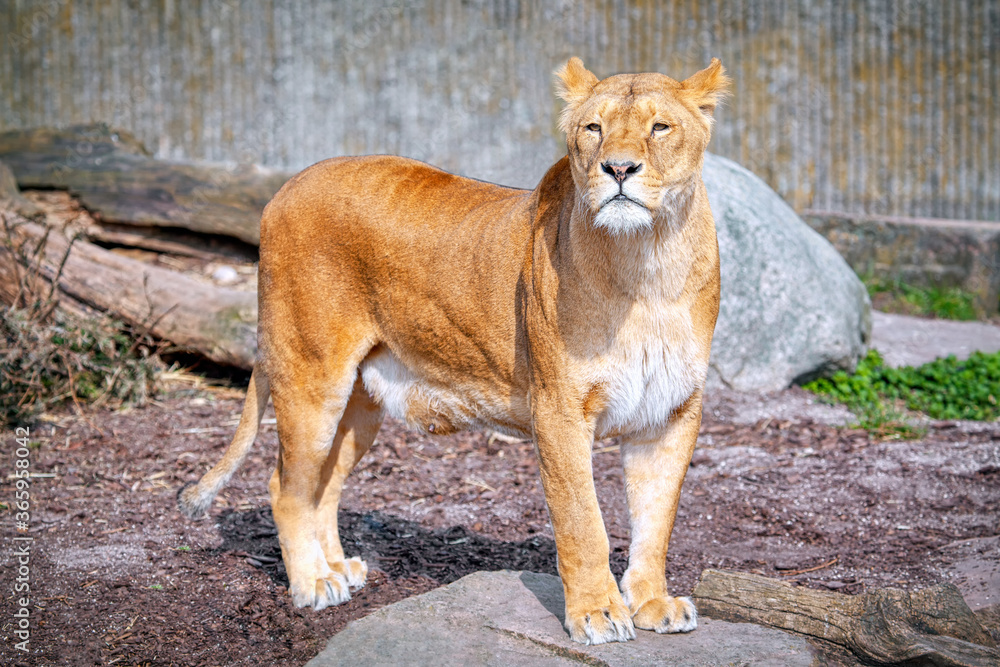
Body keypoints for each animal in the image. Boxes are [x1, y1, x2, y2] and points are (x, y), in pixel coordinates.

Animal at [179, 57, 729, 645]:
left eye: (660, 127)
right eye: (593, 128)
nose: (618, 168)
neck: (648, 263)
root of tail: (284, 187)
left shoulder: (670, 413)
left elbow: (656, 522)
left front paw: (651, 603)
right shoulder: (558, 410)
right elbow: (584, 523)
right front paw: (597, 613)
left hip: (359, 406)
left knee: (322, 485)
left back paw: (338, 567)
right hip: (311, 377)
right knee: (285, 488)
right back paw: (313, 584)